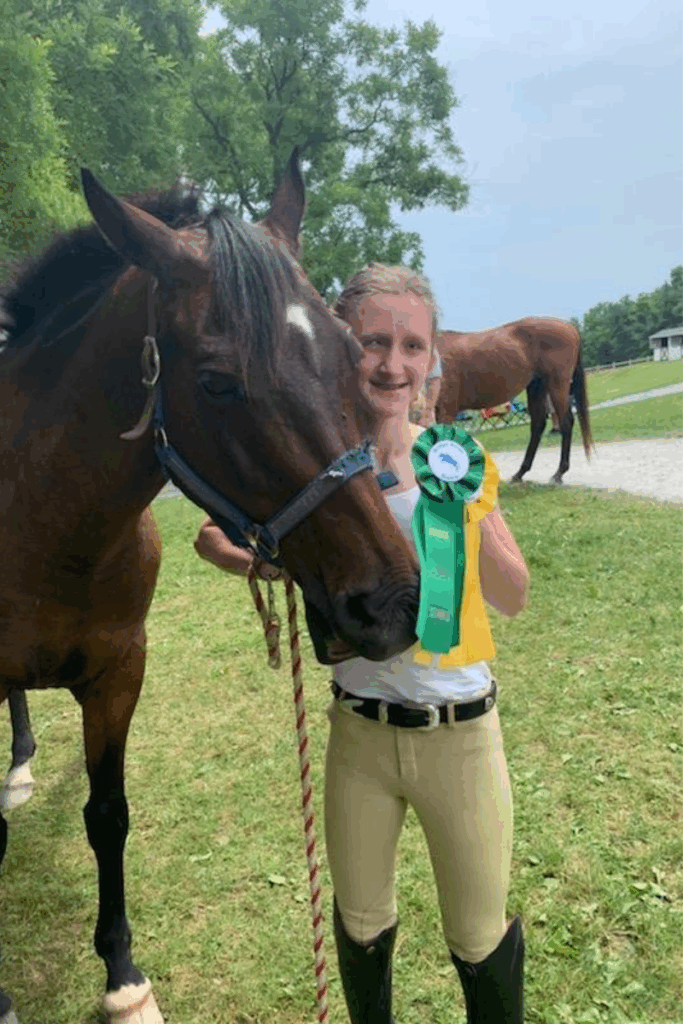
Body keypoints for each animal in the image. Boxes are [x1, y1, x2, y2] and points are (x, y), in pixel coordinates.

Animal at [0, 152, 420, 1024]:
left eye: (347, 352)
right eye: (218, 382)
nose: (390, 604)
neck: (41, 515)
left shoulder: (120, 673)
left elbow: (108, 817)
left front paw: (122, 977)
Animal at [427, 317, 593, 484]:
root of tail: (570, 326)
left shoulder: (446, 410)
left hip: (557, 386)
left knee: (566, 422)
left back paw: (559, 473)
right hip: (537, 387)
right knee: (538, 425)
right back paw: (521, 472)